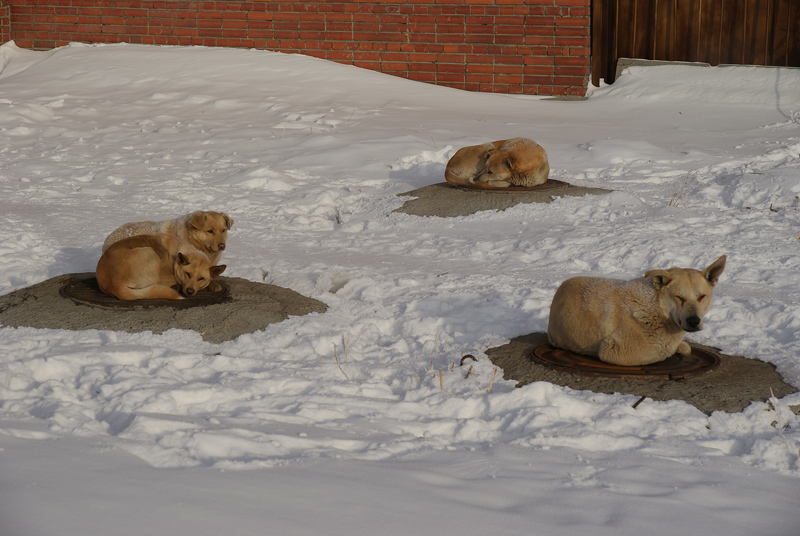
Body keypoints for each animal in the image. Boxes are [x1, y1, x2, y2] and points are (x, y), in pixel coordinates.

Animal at [99, 234, 228, 302]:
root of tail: (114, 285)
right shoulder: (166, 275)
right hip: (149, 252)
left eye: (201, 278)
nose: (189, 291)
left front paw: (214, 284)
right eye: (187, 274)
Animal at [552, 254, 724, 364]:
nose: (694, 321)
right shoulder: (613, 350)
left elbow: (685, 348)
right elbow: (663, 352)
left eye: (701, 296)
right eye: (679, 297)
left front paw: (681, 346)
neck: (656, 308)